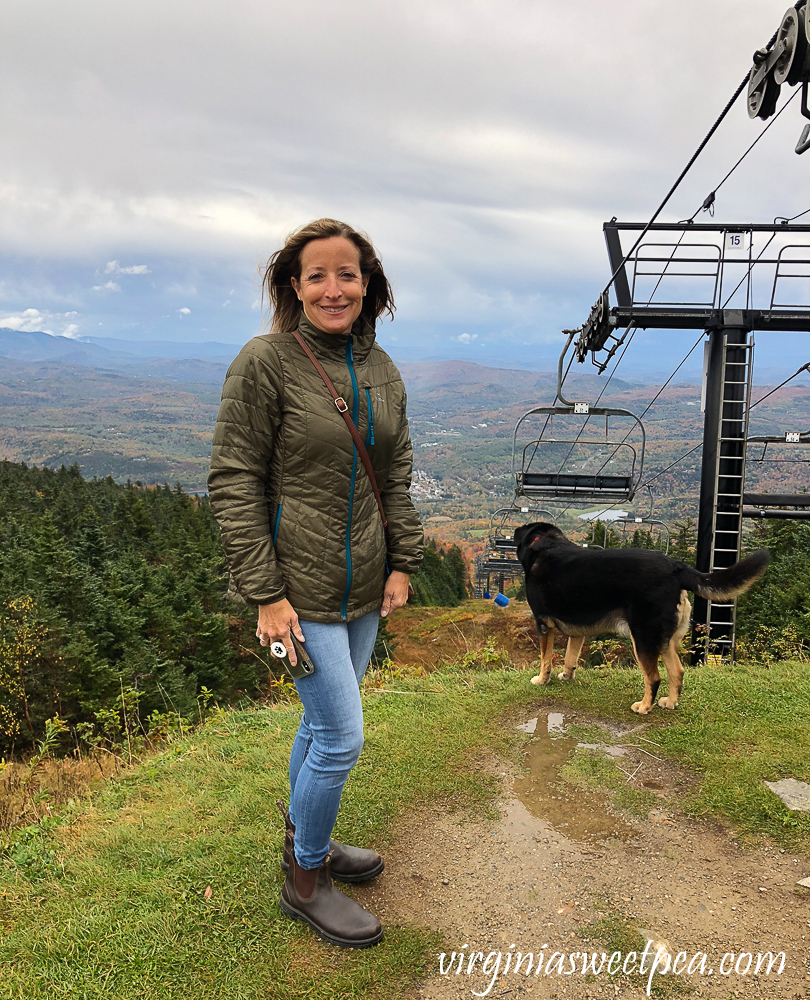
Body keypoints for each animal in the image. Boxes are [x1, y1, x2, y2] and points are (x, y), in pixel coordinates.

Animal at [516, 520, 768, 716]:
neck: (543, 542)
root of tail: (676, 568)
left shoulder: (543, 624)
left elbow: (545, 659)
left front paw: (542, 680)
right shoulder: (578, 630)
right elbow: (570, 658)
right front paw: (567, 676)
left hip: (643, 638)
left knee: (654, 677)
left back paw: (645, 707)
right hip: (664, 640)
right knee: (677, 671)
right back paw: (670, 703)